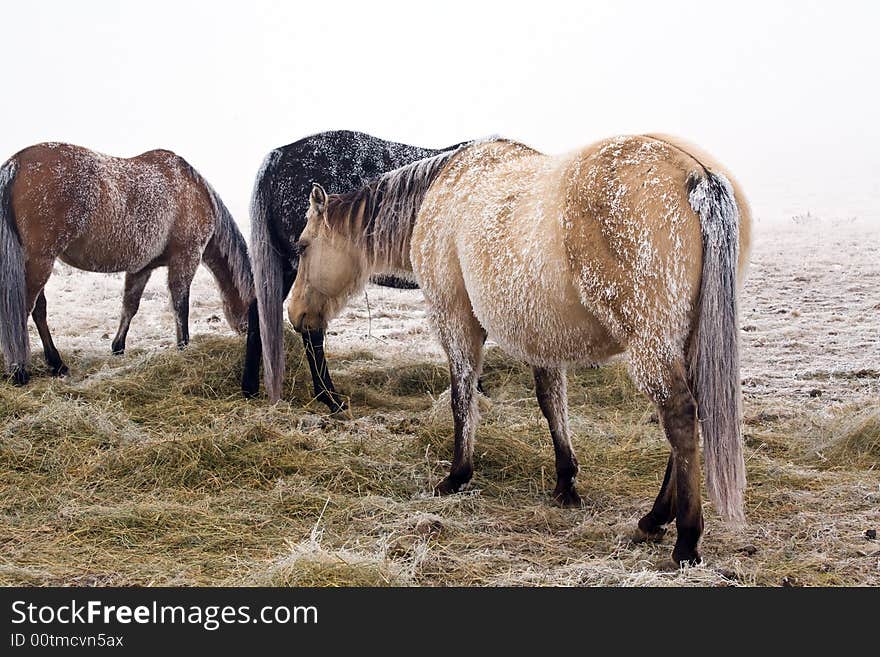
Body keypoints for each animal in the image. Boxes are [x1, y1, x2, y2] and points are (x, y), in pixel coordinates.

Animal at [0, 141, 254, 382]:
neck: (195, 191)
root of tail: (16, 163)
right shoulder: (186, 259)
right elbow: (180, 306)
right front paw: (183, 348)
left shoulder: (141, 268)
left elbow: (130, 306)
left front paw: (118, 347)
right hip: (40, 262)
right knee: (24, 309)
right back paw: (19, 370)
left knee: (39, 310)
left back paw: (56, 363)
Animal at [288, 135, 748, 564]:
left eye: (303, 246)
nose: (293, 313)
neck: (443, 192)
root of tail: (695, 174)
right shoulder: (542, 339)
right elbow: (552, 403)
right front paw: (565, 482)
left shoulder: (455, 319)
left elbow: (462, 396)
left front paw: (457, 475)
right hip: (686, 343)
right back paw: (656, 518)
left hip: (651, 343)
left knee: (680, 416)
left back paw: (683, 537)